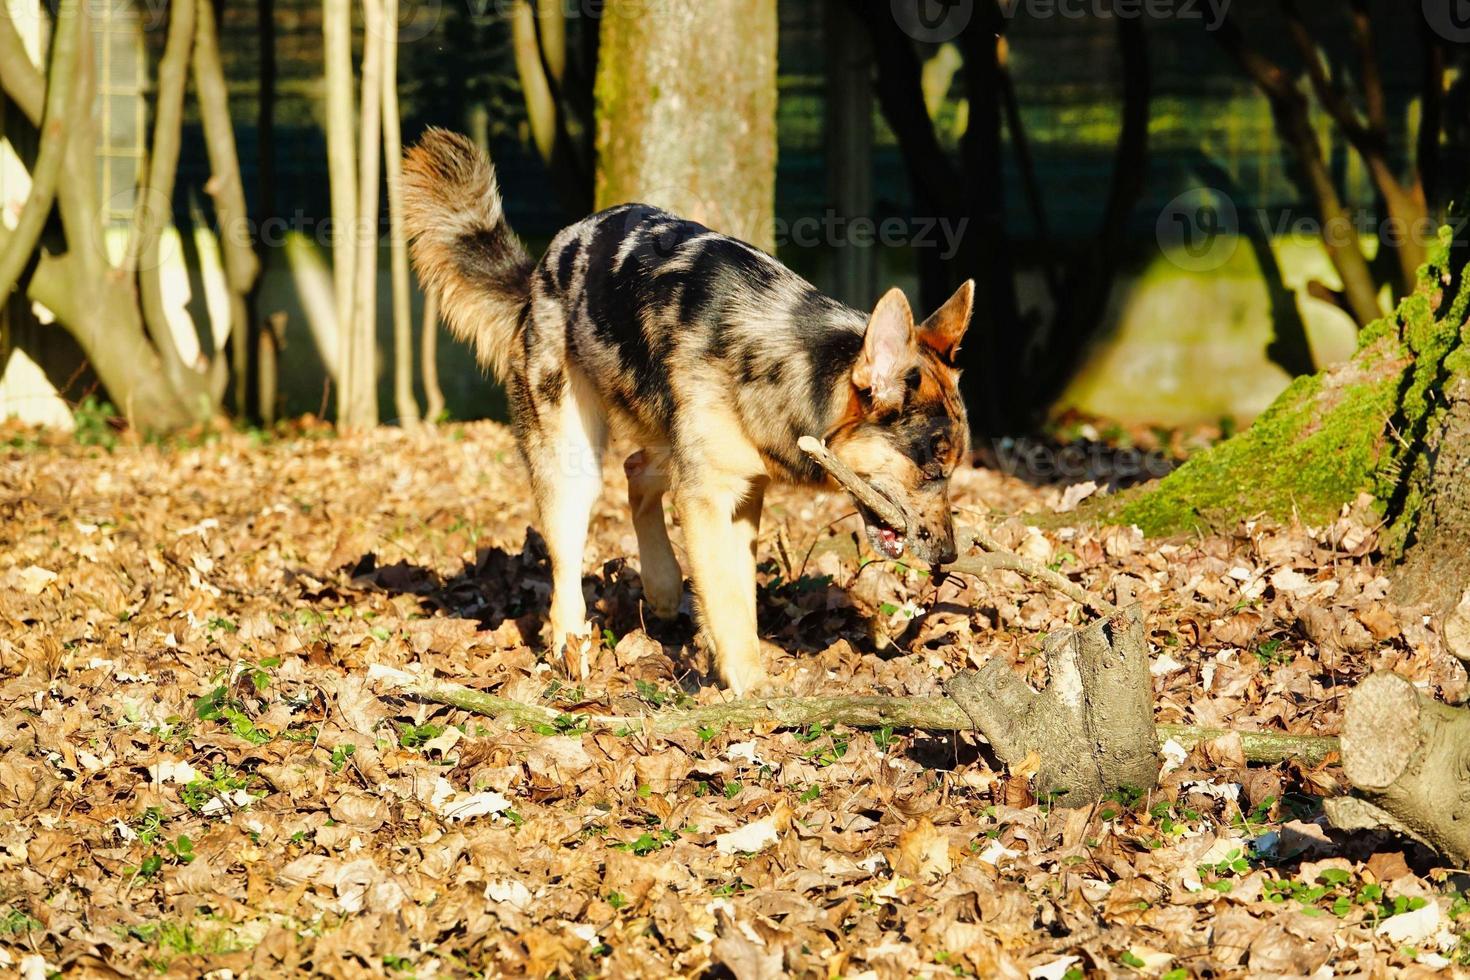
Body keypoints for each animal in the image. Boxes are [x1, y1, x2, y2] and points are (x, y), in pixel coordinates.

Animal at [402, 130, 976, 693]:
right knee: (566, 561)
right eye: (932, 466)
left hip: (667, 436)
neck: (787, 357)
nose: (949, 556)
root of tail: (539, 271)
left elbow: (738, 595)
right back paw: (571, 650)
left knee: (637, 470)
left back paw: (660, 585)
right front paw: (750, 687)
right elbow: (726, 599)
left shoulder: (741, 496)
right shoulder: (707, 498)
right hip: (572, 459)